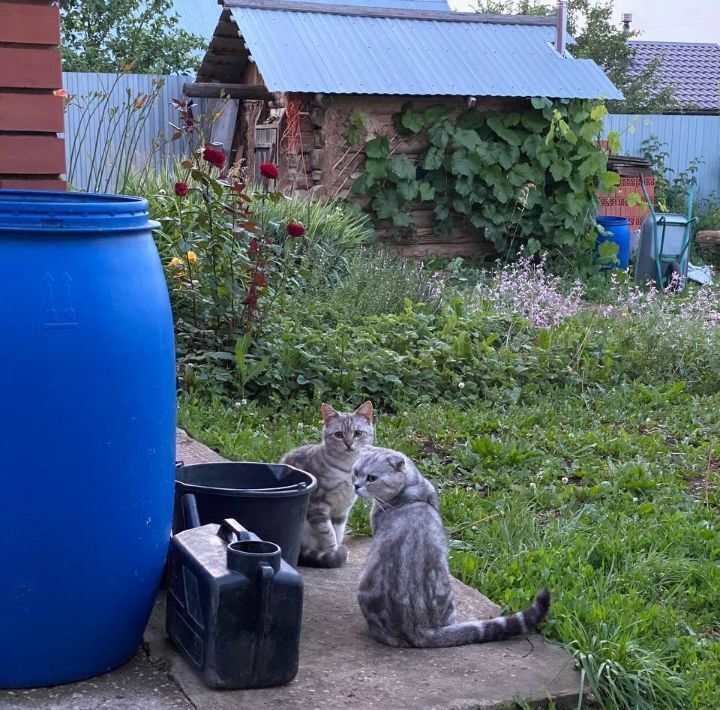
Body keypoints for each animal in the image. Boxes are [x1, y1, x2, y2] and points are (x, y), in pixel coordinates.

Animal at [278, 404, 374, 572]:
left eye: (357, 433)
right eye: (339, 435)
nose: (349, 444)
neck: (347, 469)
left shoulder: (343, 509)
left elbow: (338, 531)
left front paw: (335, 551)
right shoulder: (317, 506)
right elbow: (328, 533)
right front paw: (333, 553)